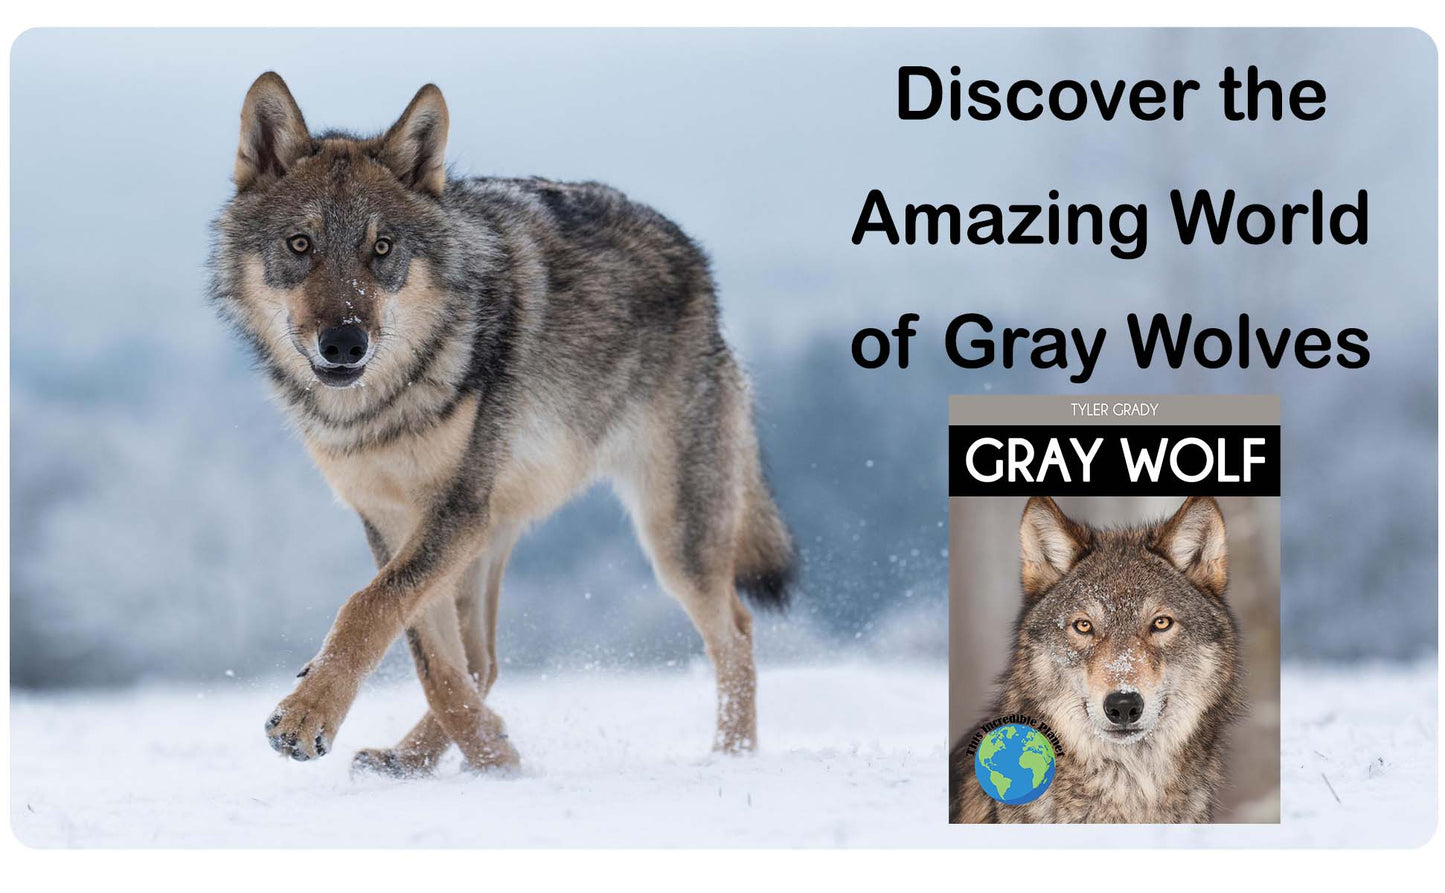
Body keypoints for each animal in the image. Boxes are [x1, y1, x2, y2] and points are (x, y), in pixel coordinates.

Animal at [209, 73, 795, 775]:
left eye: (382, 249)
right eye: (301, 245)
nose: (345, 344)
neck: (383, 407)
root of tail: (697, 262)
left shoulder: (455, 511)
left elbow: (369, 608)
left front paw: (305, 717)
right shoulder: (392, 519)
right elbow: (429, 658)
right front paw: (493, 754)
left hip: (671, 535)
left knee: (735, 631)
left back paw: (731, 758)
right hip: (497, 532)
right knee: (483, 662)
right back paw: (416, 758)